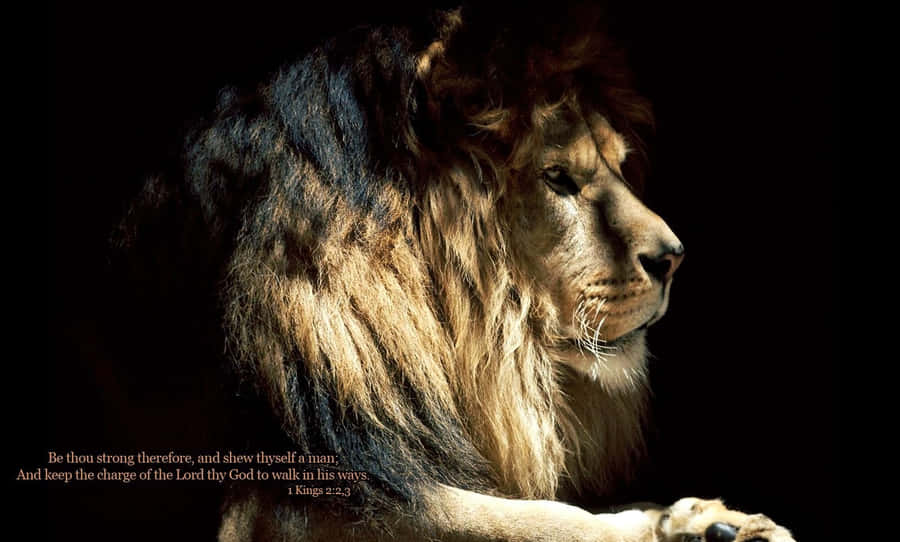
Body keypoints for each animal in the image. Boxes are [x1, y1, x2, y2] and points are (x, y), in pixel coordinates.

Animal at [120, 5, 796, 542]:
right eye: (557, 178)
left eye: (621, 166)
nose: (673, 257)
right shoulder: (283, 491)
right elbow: (533, 519)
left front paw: (704, 520)